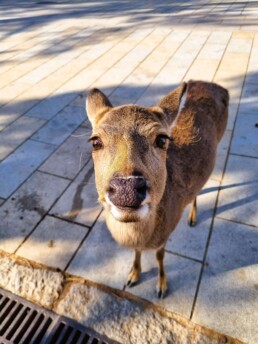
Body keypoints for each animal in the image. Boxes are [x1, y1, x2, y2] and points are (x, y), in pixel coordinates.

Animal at [86, 80, 228, 298]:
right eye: (95, 141)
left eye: (162, 139)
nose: (127, 188)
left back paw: (192, 218)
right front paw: (132, 276)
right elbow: (137, 251)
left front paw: (161, 286)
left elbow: (160, 255)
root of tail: (219, 87)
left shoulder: (167, 231)